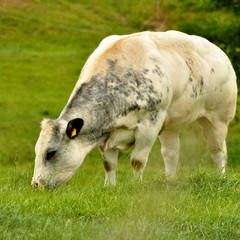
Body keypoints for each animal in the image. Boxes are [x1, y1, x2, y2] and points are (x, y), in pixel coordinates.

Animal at [31, 30, 238, 188]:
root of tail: (220, 53)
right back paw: (170, 180)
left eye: (51, 153)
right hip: (171, 123)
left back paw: (221, 177)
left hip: (218, 118)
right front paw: (110, 186)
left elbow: (137, 160)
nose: (35, 184)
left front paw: (136, 185)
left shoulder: (150, 126)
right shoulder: (106, 132)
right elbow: (109, 163)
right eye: (37, 151)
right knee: (171, 153)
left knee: (218, 151)